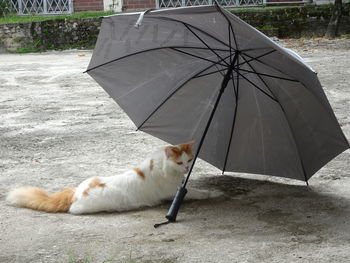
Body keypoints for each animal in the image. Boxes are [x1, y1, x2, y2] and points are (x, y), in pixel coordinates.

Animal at [6, 143, 221, 216]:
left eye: (189, 160)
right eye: (179, 162)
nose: (186, 168)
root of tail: (76, 191)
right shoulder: (173, 191)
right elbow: (198, 192)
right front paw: (214, 192)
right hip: (87, 207)